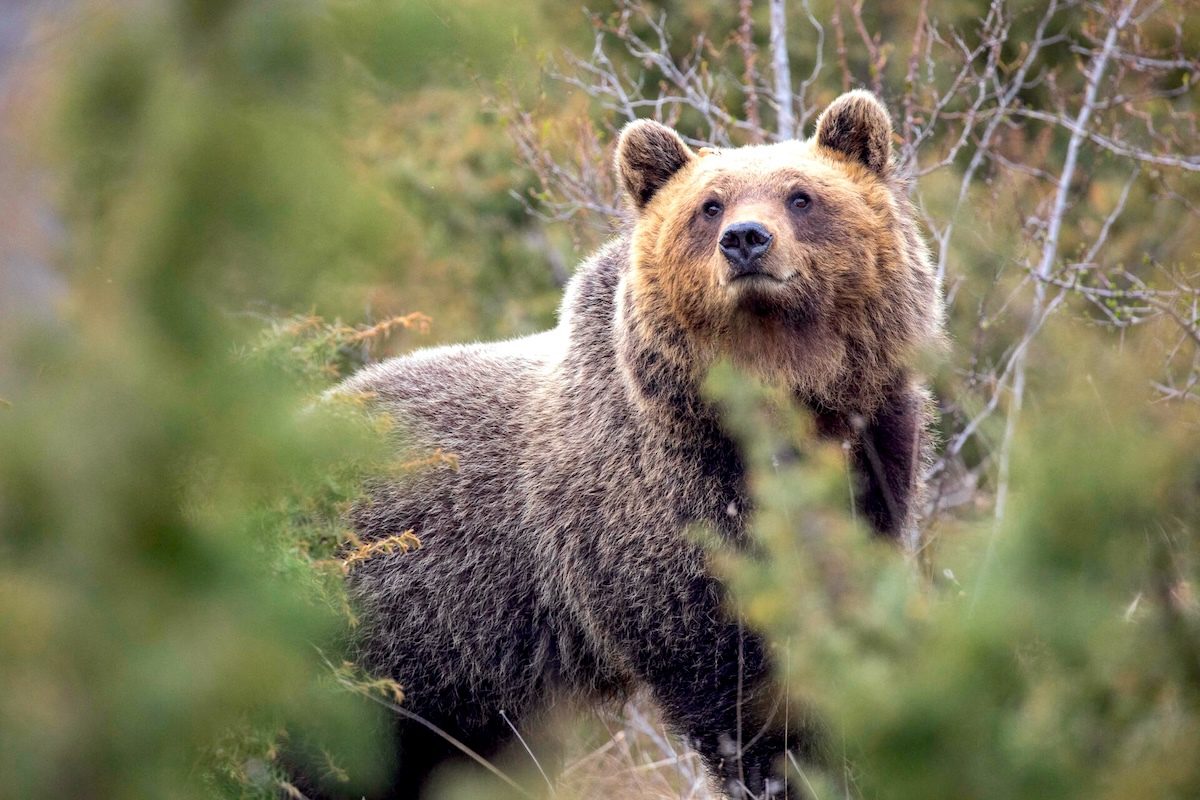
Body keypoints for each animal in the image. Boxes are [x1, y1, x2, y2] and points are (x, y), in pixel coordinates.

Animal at [313, 90, 941, 799]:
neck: (780, 402)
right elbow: (731, 676)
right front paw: (781, 767)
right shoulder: (659, 514)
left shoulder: (871, 455)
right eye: (710, 204)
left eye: (801, 195)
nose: (745, 240)